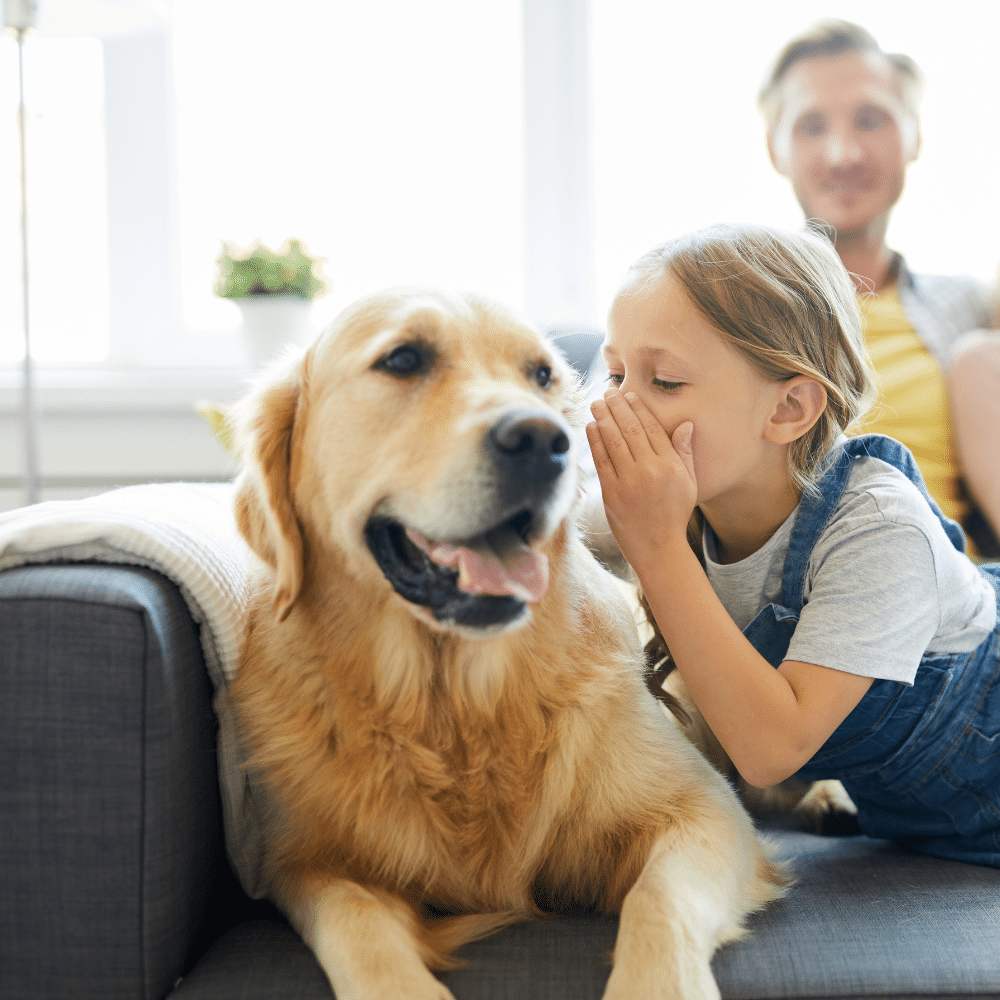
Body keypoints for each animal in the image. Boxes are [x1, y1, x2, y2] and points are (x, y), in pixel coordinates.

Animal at [229, 286, 788, 996]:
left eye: (541, 374)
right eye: (403, 359)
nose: (543, 440)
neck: (458, 705)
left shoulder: (703, 809)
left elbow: (659, 899)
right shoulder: (307, 862)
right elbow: (356, 924)